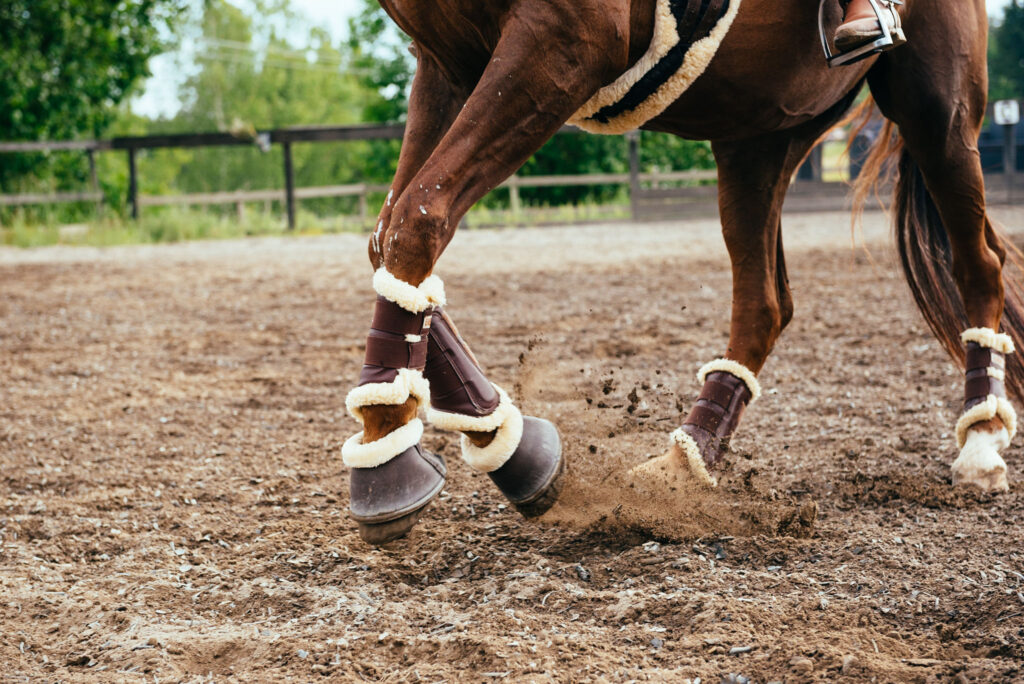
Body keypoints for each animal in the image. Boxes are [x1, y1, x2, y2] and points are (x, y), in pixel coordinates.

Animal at [340, 0, 1023, 544]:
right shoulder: (447, 63)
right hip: (758, 135)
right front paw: (507, 442)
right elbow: (389, 237)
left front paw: (386, 460)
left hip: (935, 109)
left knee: (980, 265)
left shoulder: (561, 43)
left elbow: (417, 218)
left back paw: (983, 440)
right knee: (765, 304)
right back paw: (687, 463)